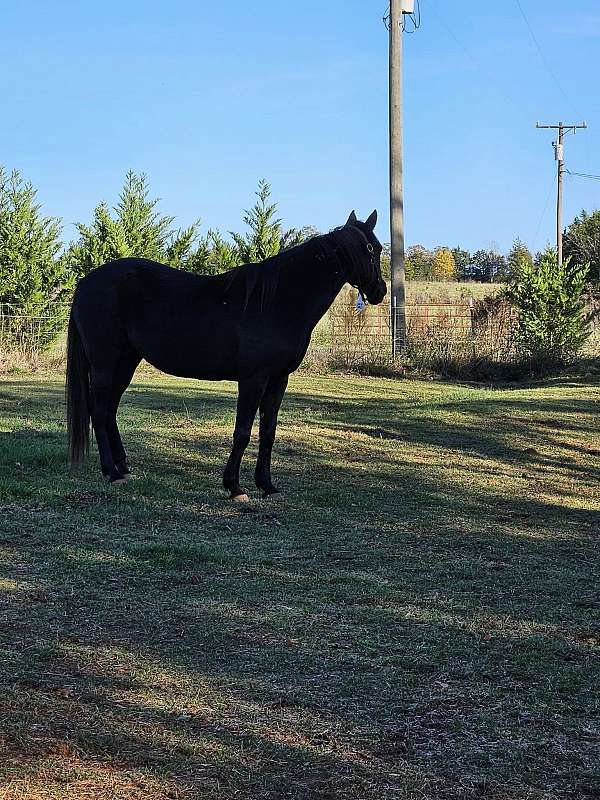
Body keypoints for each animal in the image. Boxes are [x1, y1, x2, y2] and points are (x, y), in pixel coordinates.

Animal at [64, 212, 384, 500]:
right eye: (373, 250)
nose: (379, 291)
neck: (278, 302)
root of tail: (85, 283)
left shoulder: (278, 379)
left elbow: (268, 431)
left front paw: (267, 485)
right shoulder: (254, 379)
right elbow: (242, 431)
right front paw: (235, 487)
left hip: (126, 362)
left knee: (109, 410)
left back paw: (123, 467)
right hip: (105, 363)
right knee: (99, 411)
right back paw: (111, 472)